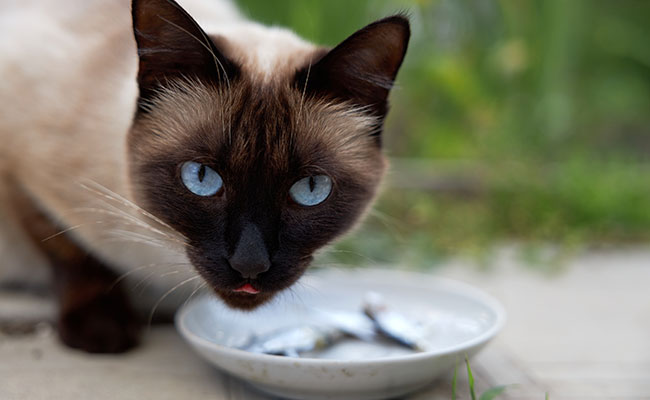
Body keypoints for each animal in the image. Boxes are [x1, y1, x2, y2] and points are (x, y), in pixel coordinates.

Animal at [0, 0, 408, 352]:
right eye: (201, 177)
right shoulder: (20, 166)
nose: (249, 264)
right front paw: (103, 332)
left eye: (310, 189)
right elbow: (69, 251)